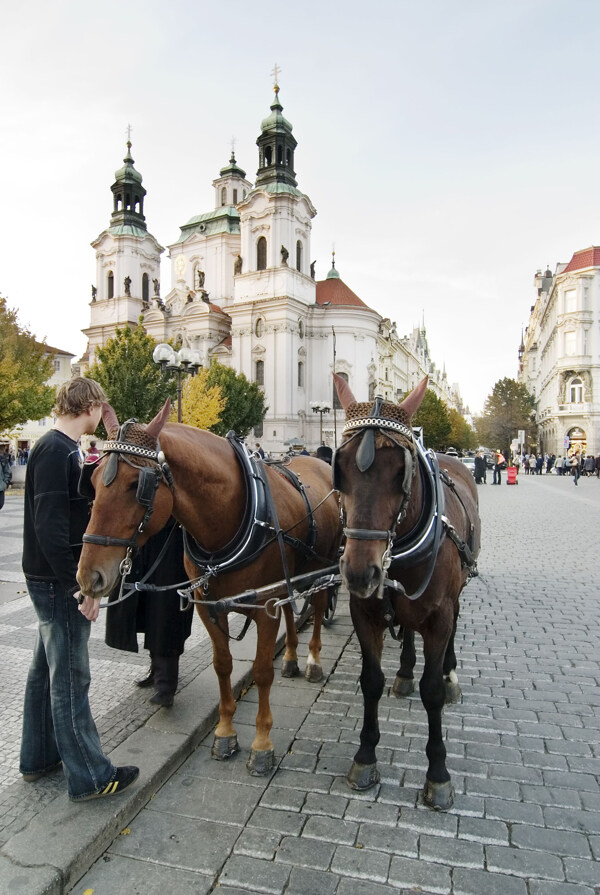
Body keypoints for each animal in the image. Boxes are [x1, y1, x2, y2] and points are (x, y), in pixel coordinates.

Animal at [76, 402, 342, 772]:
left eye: (135, 485)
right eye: (93, 481)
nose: (89, 576)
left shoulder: (264, 607)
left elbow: (262, 672)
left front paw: (262, 745)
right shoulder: (209, 607)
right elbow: (223, 666)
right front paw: (225, 734)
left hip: (322, 569)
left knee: (317, 608)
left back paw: (313, 661)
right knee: (291, 610)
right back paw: (290, 658)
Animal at [330, 374, 480, 808]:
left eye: (402, 471)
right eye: (339, 470)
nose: (360, 572)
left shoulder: (439, 616)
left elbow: (432, 691)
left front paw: (438, 774)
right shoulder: (365, 614)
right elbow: (370, 681)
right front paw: (365, 756)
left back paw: (450, 672)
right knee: (408, 632)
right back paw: (405, 671)